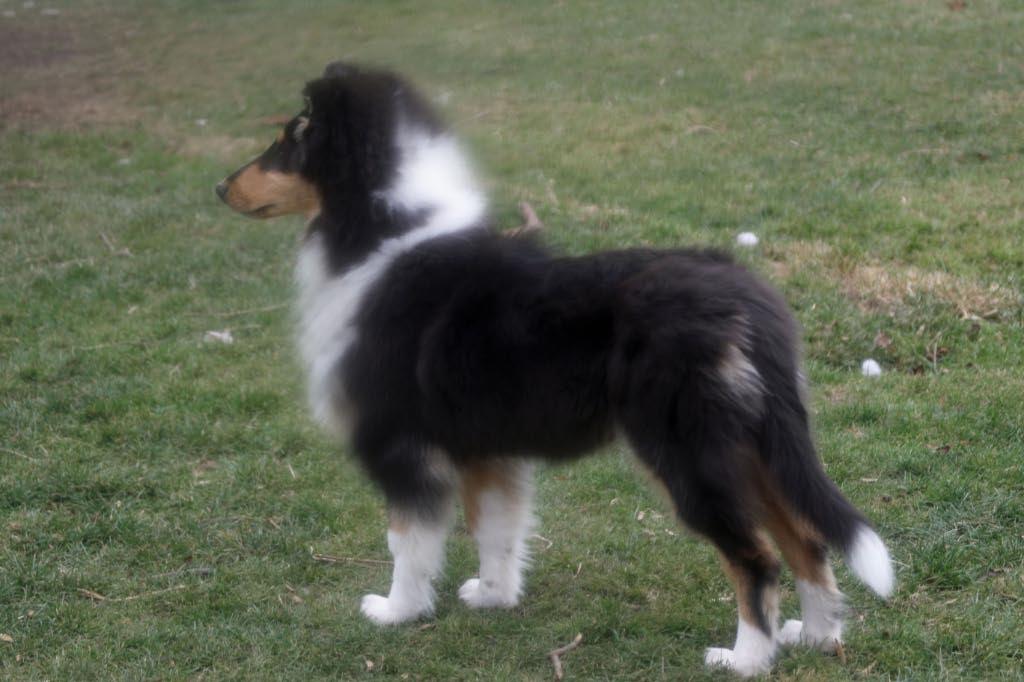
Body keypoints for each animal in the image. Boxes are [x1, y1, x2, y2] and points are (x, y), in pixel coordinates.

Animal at [216, 62, 893, 676]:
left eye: (293, 137)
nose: (221, 190)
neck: (384, 232)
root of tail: (746, 301)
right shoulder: (486, 450)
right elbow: (494, 528)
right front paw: (493, 597)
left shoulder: (399, 444)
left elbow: (408, 539)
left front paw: (395, 611)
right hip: (754, 443)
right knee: (805, 538)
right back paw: (816, 634)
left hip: (688, 450)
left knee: (756, 556)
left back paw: (746, 658)